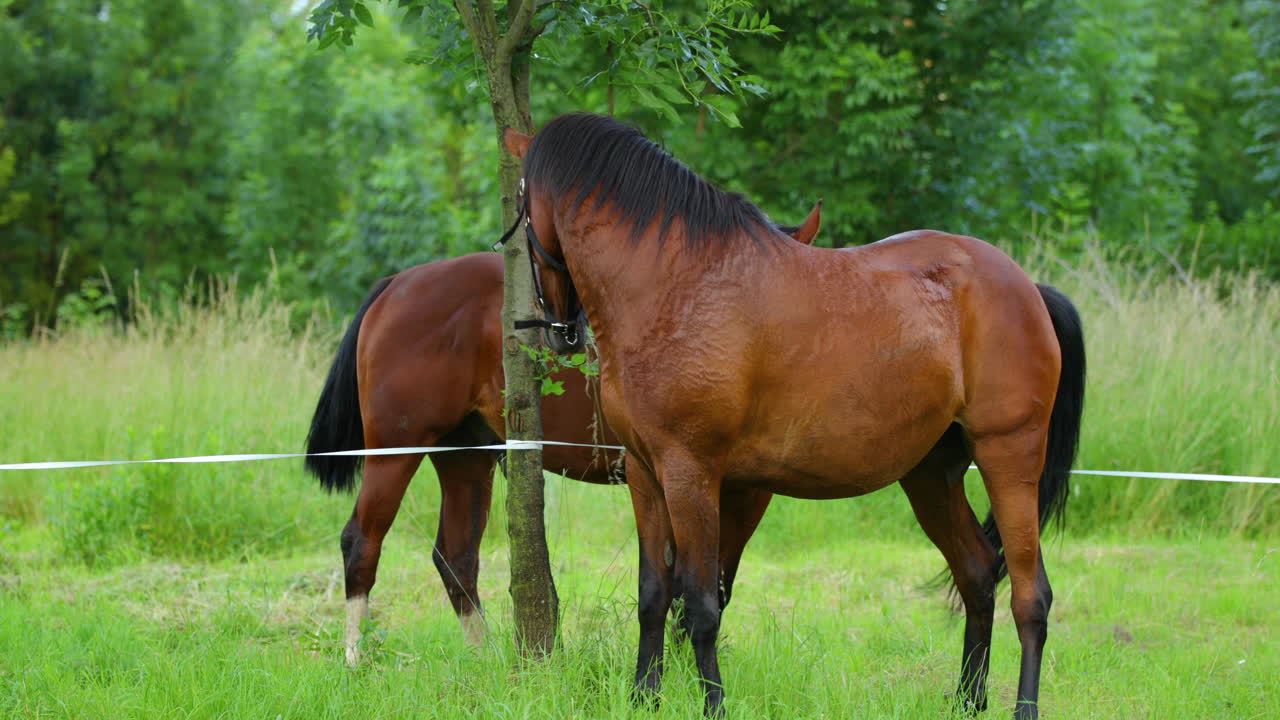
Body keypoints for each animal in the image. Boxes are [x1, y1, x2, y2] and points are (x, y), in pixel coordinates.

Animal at [304, 207, 822, 665]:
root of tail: (398, 283)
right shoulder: (716, 487)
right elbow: (702, 586)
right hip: (395, 448)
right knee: (362, 542)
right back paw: (354, 658)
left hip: (465, 455)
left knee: (456, 557)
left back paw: (485, 659)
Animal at [501, 113, 1085, 719]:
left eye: (519, 201)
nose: (559, 329)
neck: (676, 286)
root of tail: (1027, 288)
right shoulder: (645, 472)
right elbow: (654, 594)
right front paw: (644, 697)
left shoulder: (693, 473)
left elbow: (702, 603)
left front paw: (714, 705)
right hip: (931, 472)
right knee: (977, 573)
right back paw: (967, 701)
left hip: (1008, 455)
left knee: (1030, 595)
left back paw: (1023, 706)